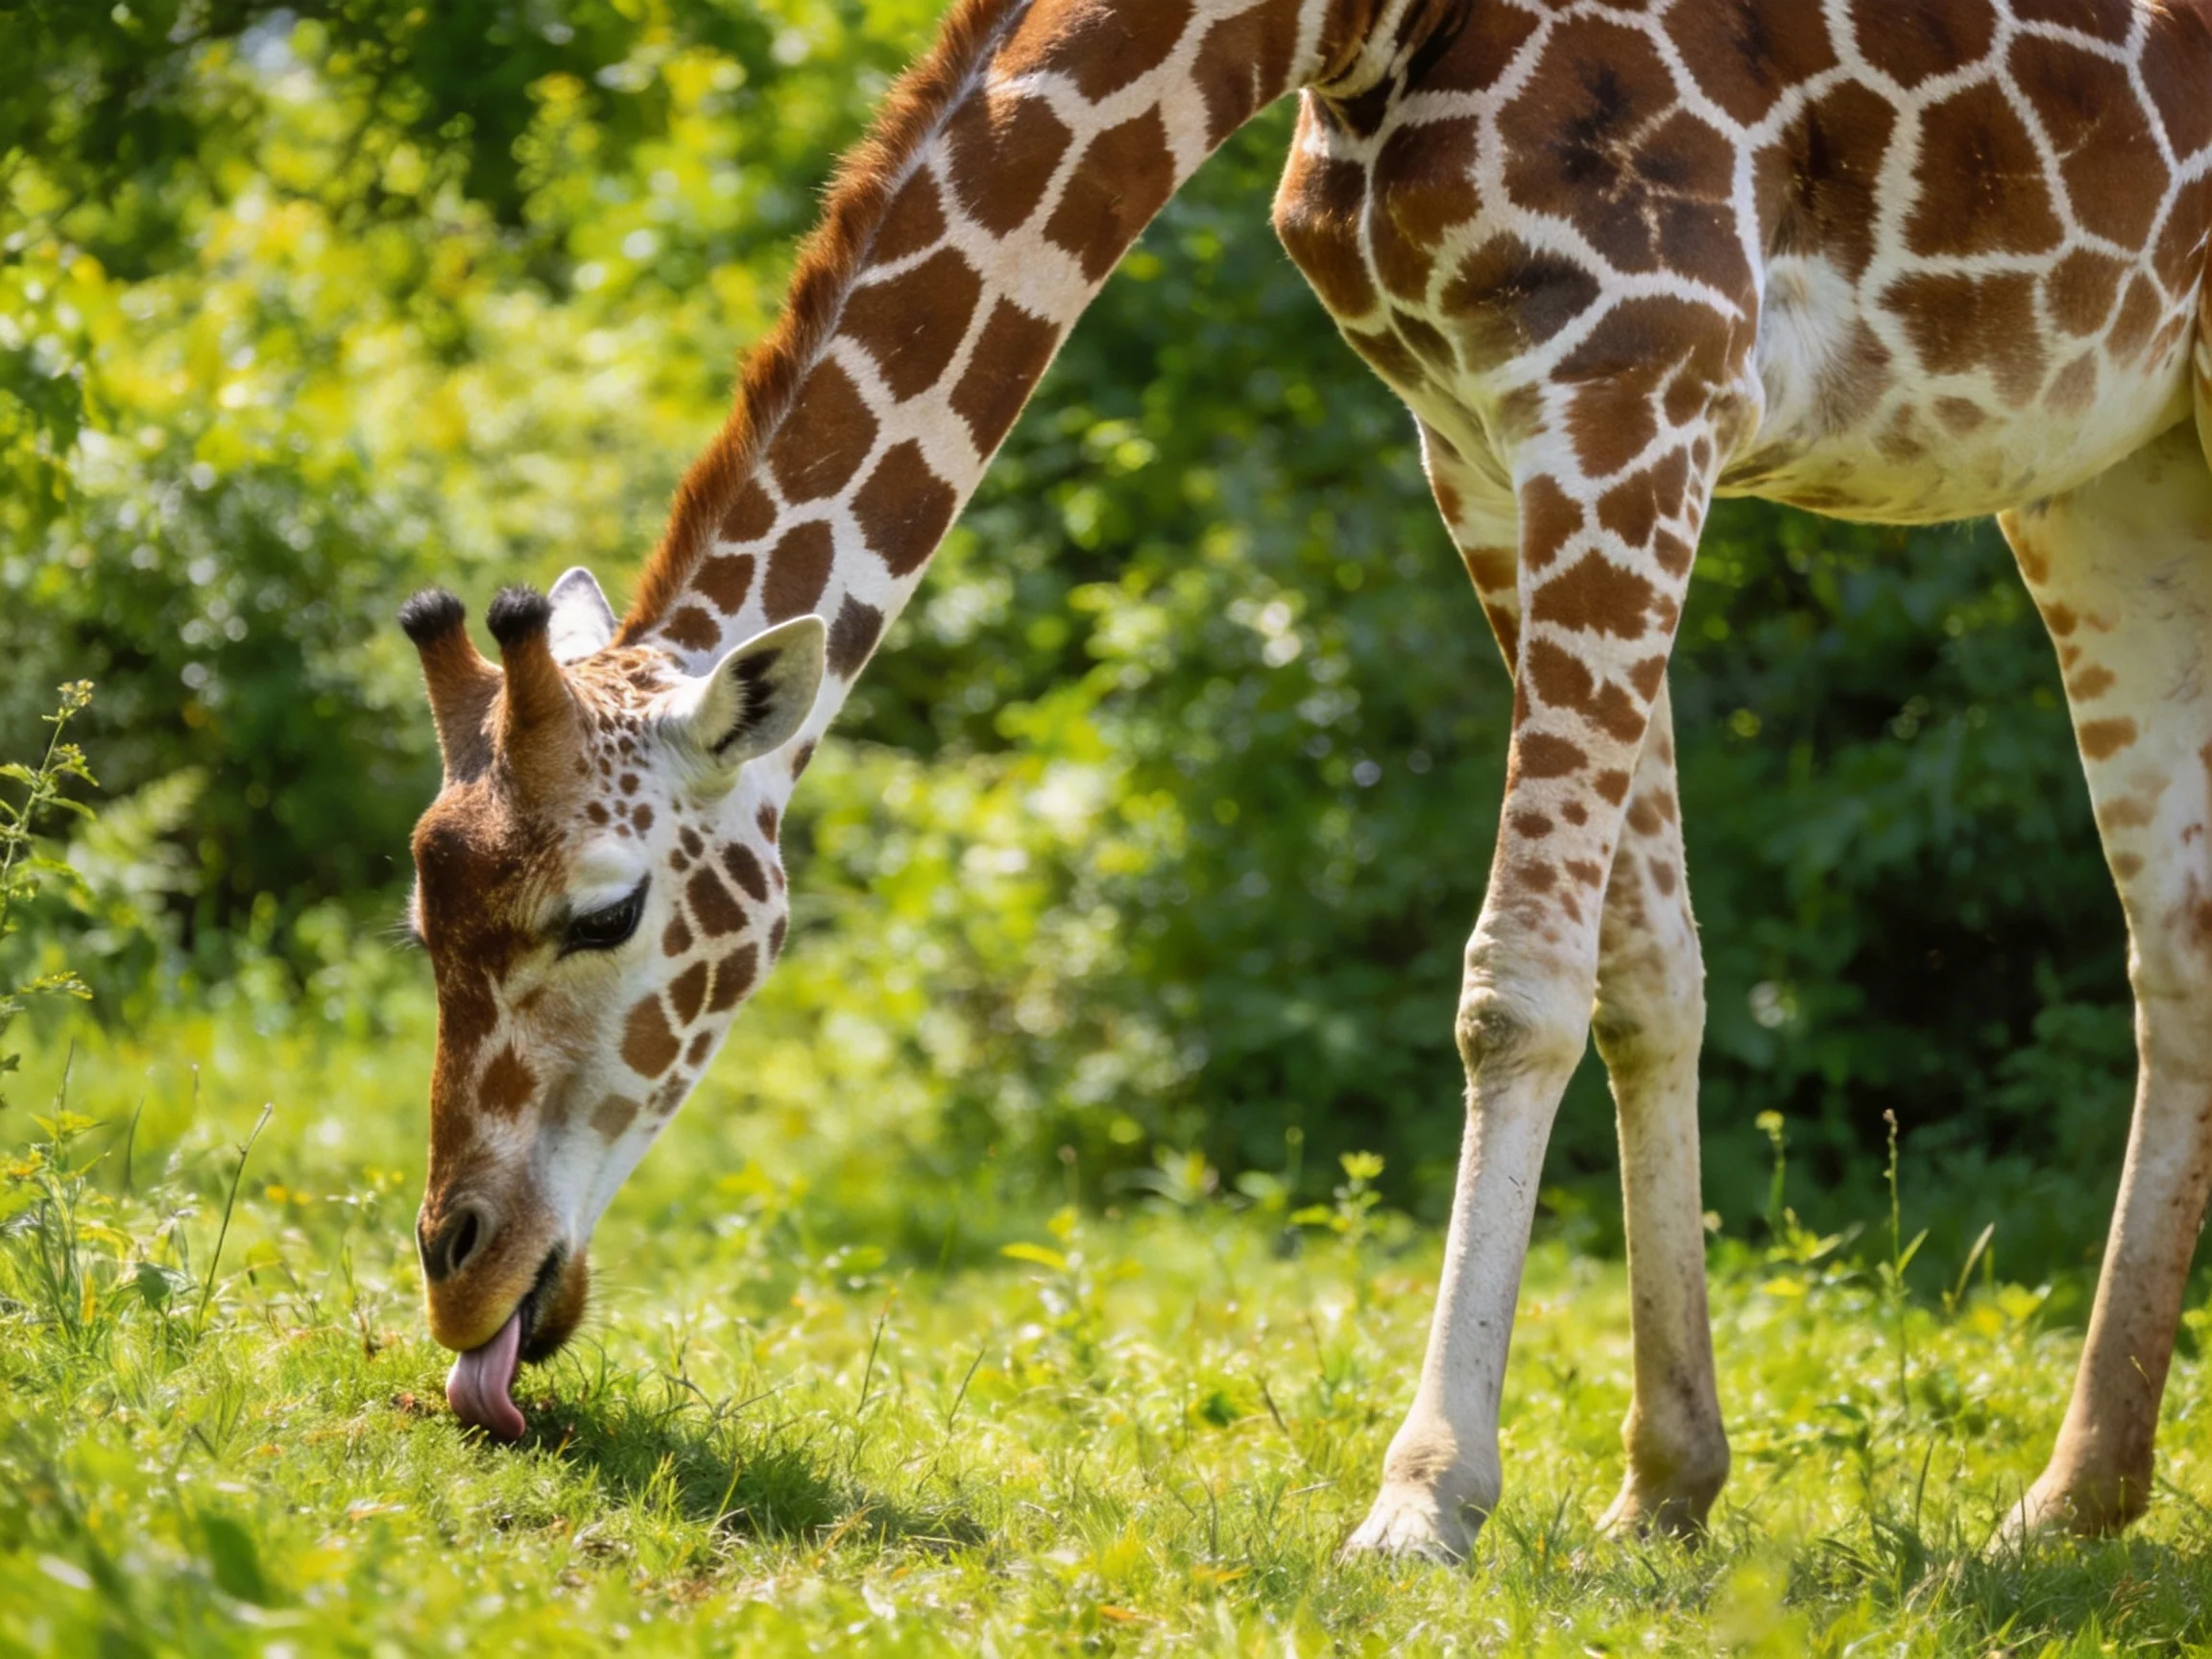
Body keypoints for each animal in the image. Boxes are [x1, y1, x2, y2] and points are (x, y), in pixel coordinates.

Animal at [395, 0, 2212, 1559]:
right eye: (425, 926)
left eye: (604, 912)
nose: (456, 1277)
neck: (1331, 28)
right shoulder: (1483, 436)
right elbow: (1647, 971)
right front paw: (1666, 1481)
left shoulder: (1634, 383)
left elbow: (1516, 985)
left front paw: (1425, 1499)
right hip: (2110, 462)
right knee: (2175, 936)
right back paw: (2074, 1499)